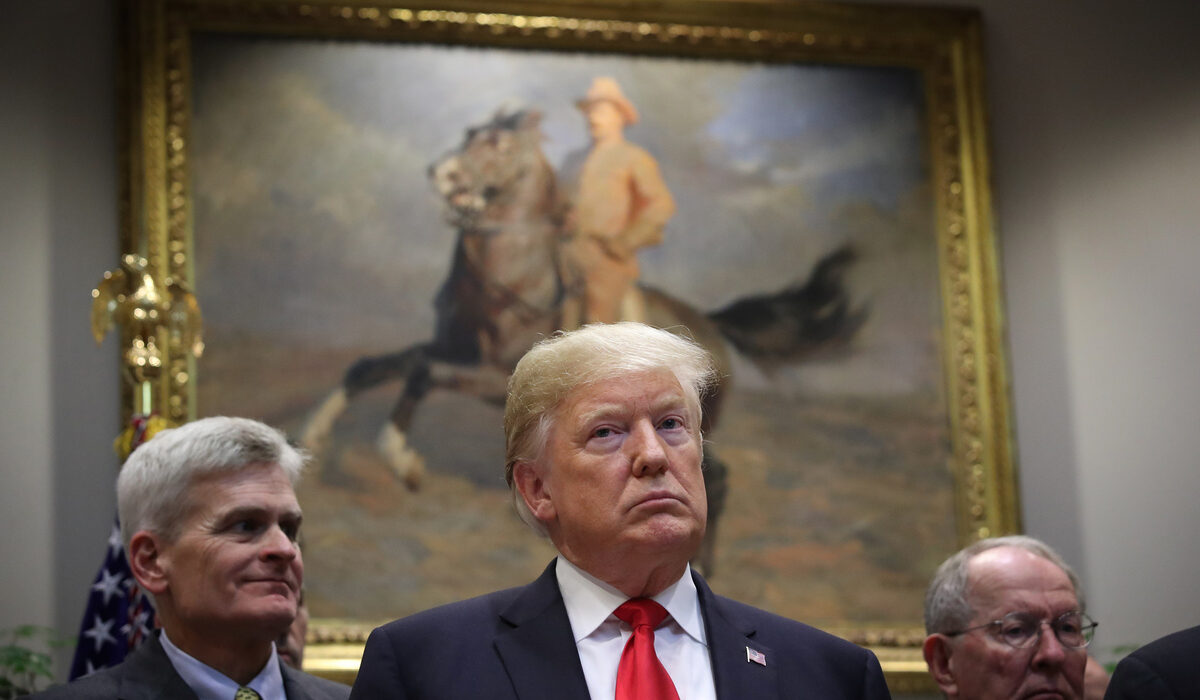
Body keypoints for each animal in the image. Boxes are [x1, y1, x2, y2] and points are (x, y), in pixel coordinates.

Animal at [300, 108, 866, 575]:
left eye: (498, 144)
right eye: (468, 134)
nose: (441, 173)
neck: (515, 279)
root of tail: (707, 322)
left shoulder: (491, 380)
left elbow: (420, 371)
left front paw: (402, 459)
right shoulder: (453, 350)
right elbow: (375, 365)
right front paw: (313, 437)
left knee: (717, 479)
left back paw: (702, 568)